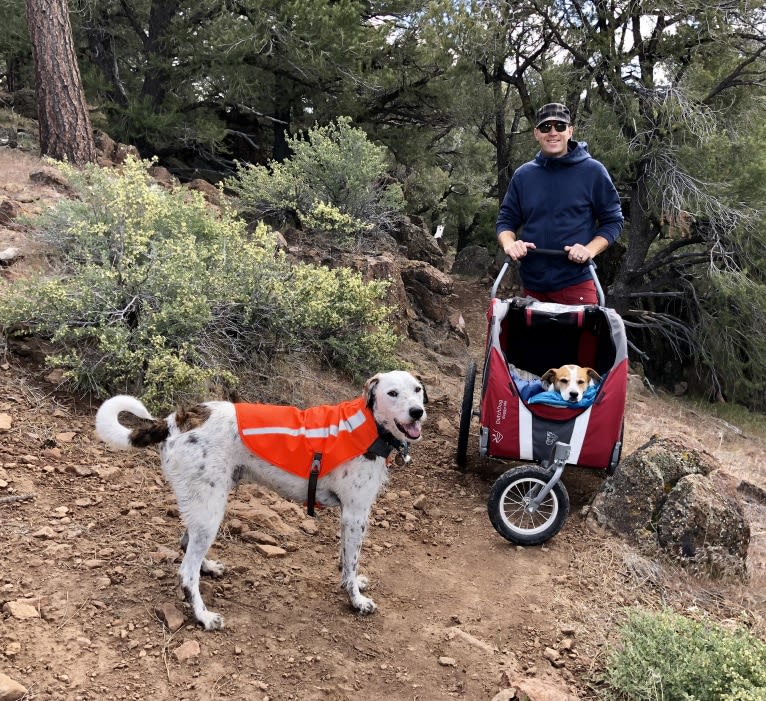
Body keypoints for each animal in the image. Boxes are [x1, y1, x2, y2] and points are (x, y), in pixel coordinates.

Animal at [95, 372, 426, 628]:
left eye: (417, 390)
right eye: (392, 393)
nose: (417, 412)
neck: (370, 423)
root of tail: (175, 421)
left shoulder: (349, 517)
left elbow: (346, 560)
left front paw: (352, 584)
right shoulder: (355, 514)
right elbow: (352, 562)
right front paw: (356, 599)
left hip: (203, 504)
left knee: (186, 543)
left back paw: (208, 568)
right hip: (211, 509)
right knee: (186, 573)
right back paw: (204, 617)